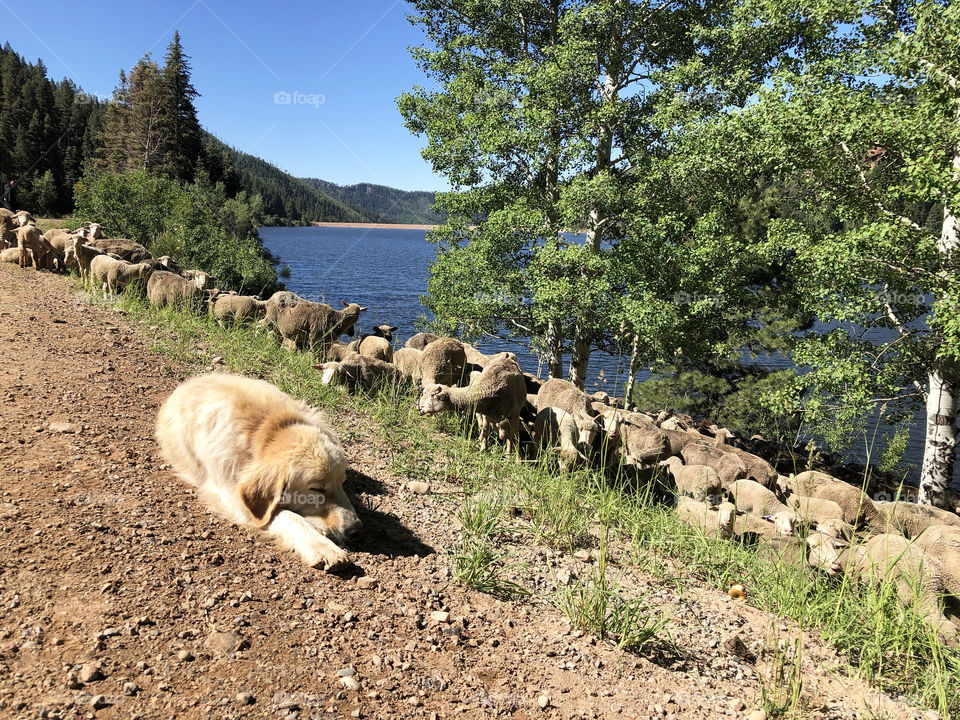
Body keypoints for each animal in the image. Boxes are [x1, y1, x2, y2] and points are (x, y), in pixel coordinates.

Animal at [156, 374, 362, 572]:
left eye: (342, 483)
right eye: (317, 489)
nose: (355, 529)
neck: (268, 431)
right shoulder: (234, 496)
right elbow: (287, 516)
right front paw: (323, 547)